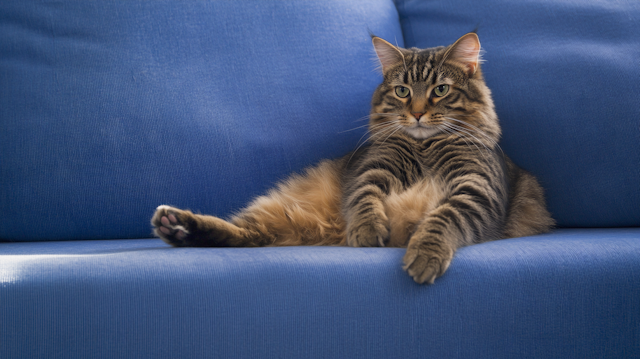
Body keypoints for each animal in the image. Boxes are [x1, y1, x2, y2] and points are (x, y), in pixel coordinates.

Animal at [151, 33, 556, 286]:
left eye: (441, 90)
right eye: (402, 91)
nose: (418, 114)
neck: (424, 148)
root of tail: (327, 234)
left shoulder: (475, 186)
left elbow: (443, 217)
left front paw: (424, 253)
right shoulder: (373, 170)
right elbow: (364, 199)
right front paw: (367, 230)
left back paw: (179, 227)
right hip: (278, 212)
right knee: (240, 233)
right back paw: (176, 224)